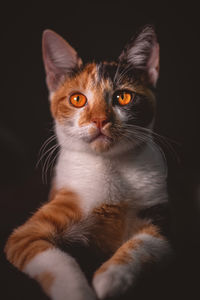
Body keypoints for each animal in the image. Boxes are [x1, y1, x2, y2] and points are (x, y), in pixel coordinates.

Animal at [4, 25, 170, 300]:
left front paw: (110, 278)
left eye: (123, 97)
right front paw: (80, 291)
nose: (100, 120)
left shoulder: (160, 219)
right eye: (77, 99)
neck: (110, 167)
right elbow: (56, 259)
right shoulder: (26, 236)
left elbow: (143, 244)